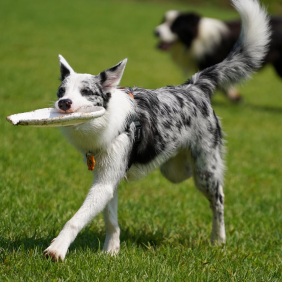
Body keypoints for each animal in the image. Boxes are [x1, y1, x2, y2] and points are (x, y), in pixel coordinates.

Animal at [43, 0, 268, 262]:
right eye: (61, 91)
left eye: (86, 92)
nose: (63, 103)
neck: (101, 123)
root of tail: (194, 86)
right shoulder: (108, 178)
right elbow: (111, 220)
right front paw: (111, 251)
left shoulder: (105, 182)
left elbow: (76, 219)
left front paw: (57, 249)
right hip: (173, 170)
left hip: (204, 172)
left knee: (219, 199)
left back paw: (218, 240)